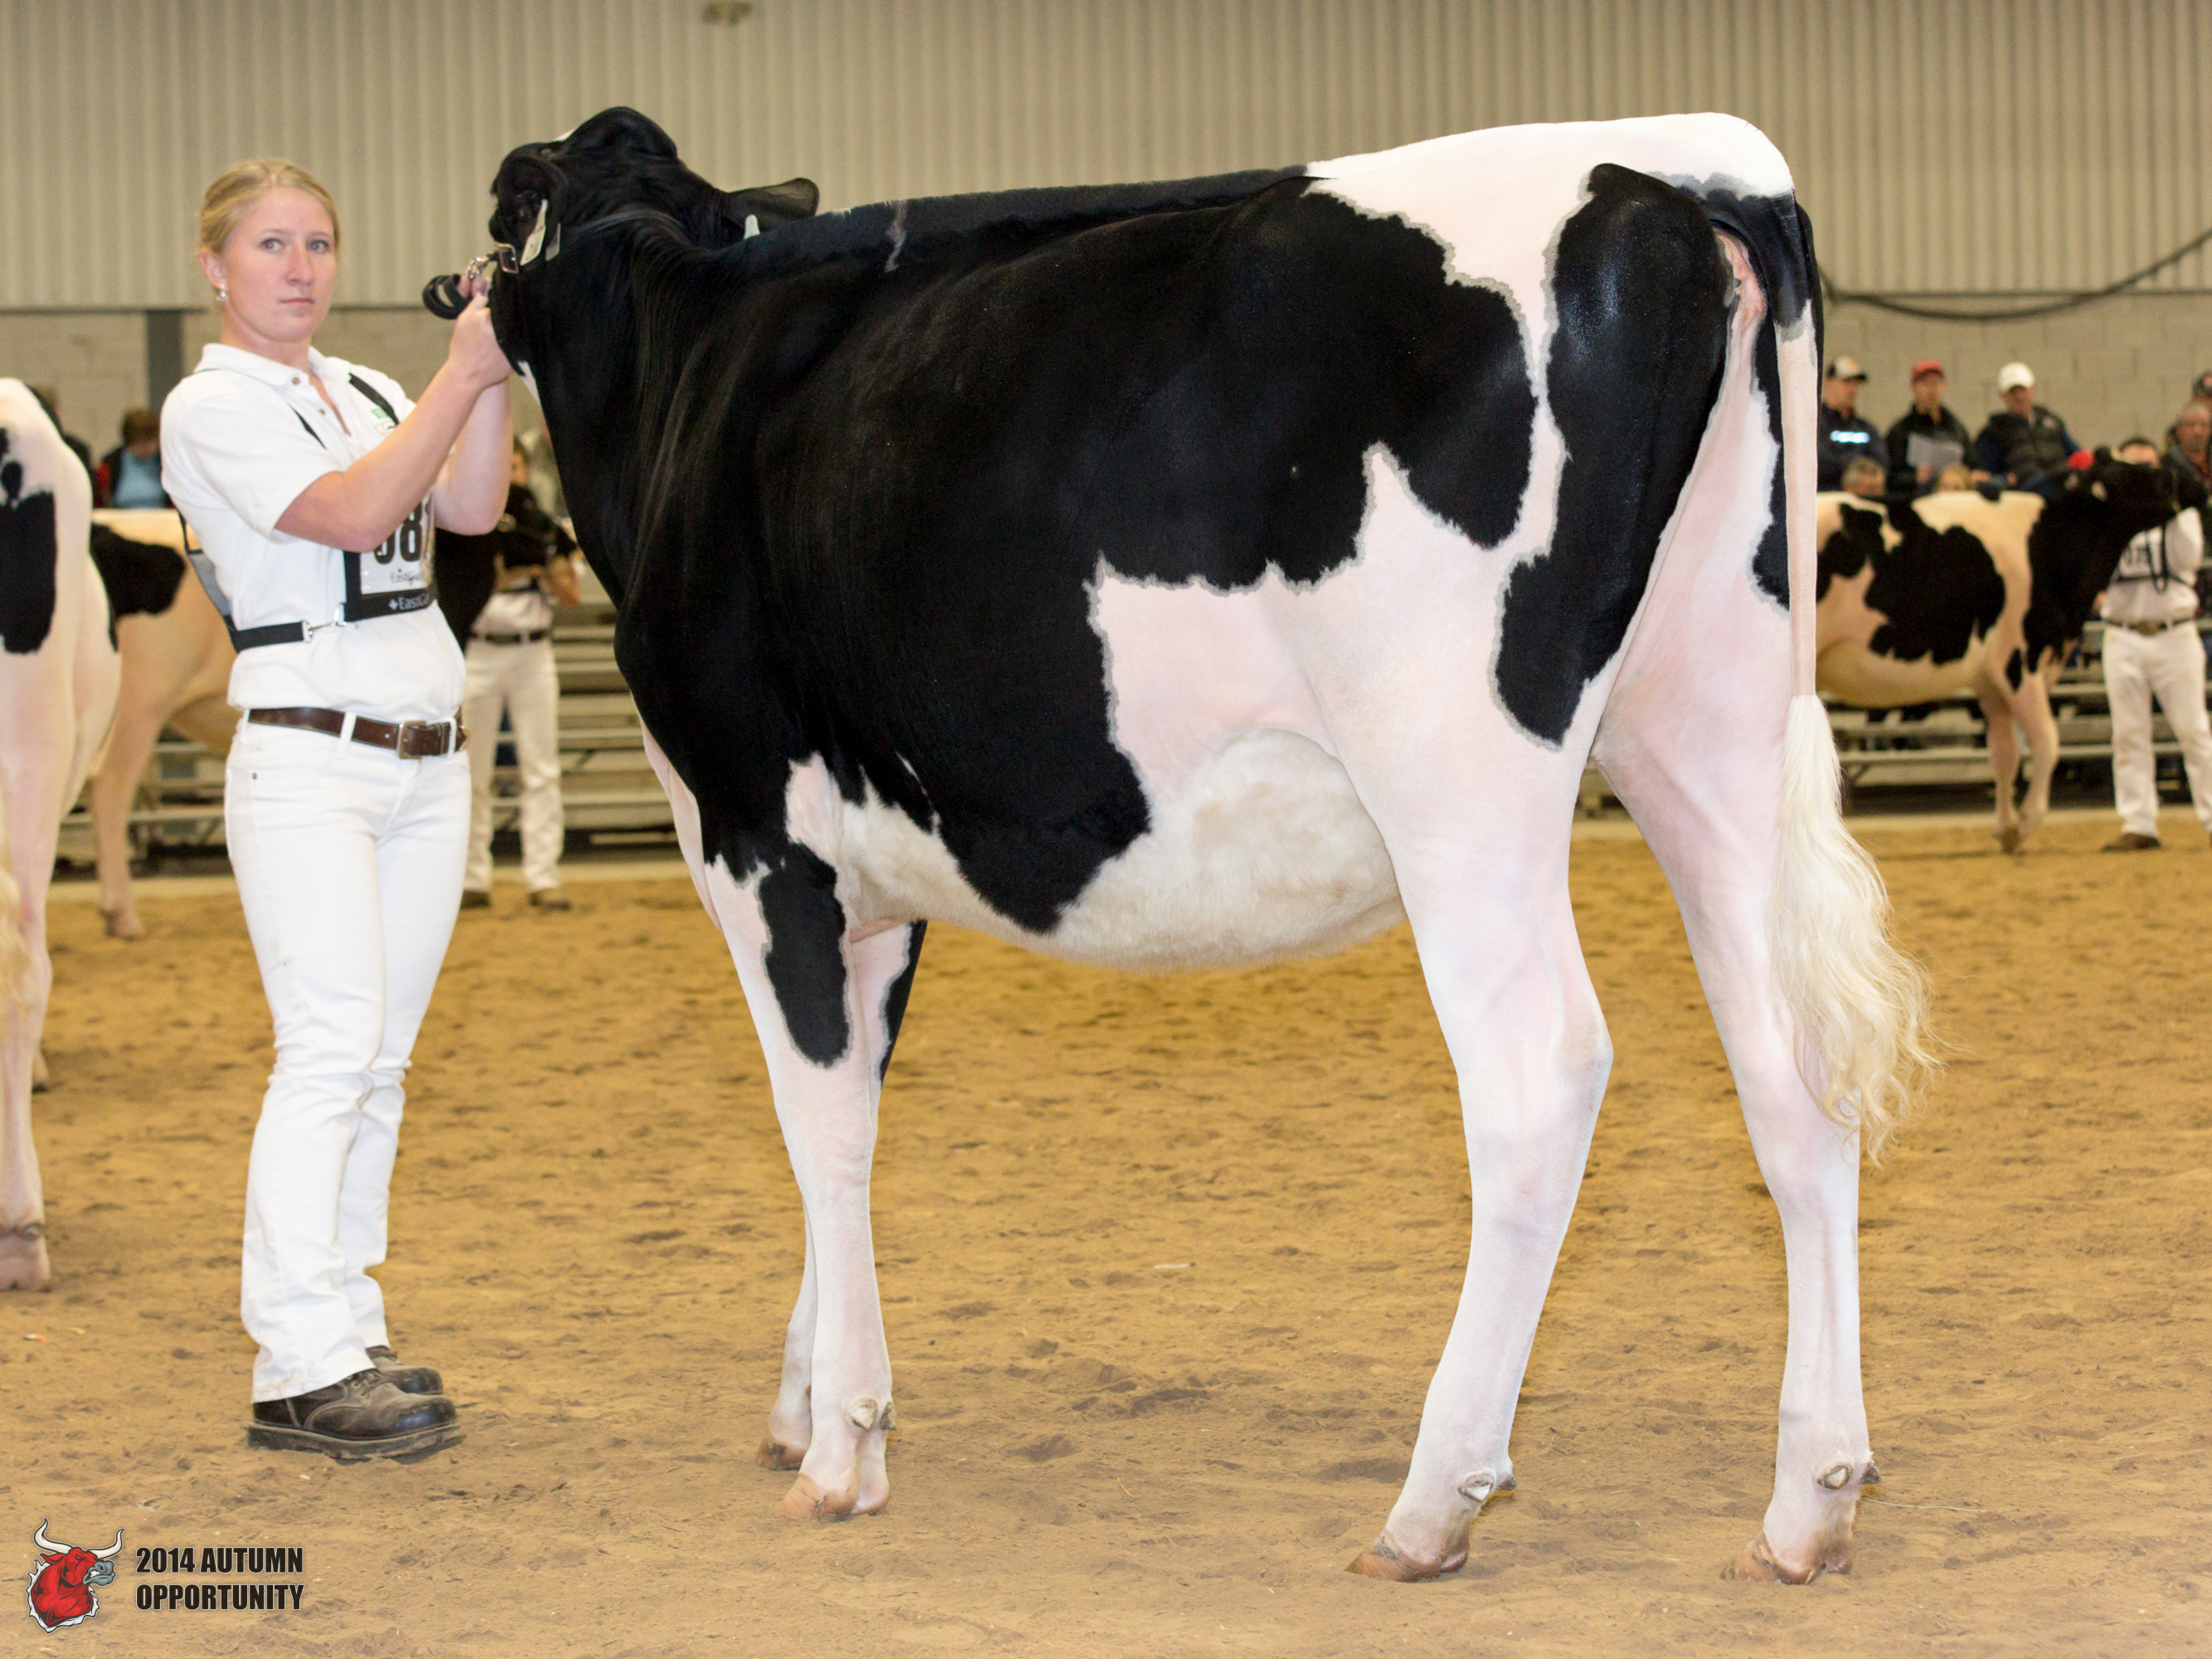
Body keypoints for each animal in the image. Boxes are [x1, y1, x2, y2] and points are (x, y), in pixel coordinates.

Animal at [437, 107, 1937, 1583]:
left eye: (510, 201)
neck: (683, 367)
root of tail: (1665, 170)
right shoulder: (877, 882)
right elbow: (853, 1102)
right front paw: (806, 1402)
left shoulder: (756, 839)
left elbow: (821, 1130)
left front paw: (840, 1447)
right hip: (1704, 733)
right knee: (1789, 1076)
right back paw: (1807, 1503)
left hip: (1458, 780)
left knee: (1539, 1077)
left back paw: (1431, 1504)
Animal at [1813, 466, 2196, 851]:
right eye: (2136, 474)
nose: (2191, 482)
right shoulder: (2020, 660)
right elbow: (2046, 742)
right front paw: (2026, 823)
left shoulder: (1989, 680)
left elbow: (2004, 753)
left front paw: (2005, 828)